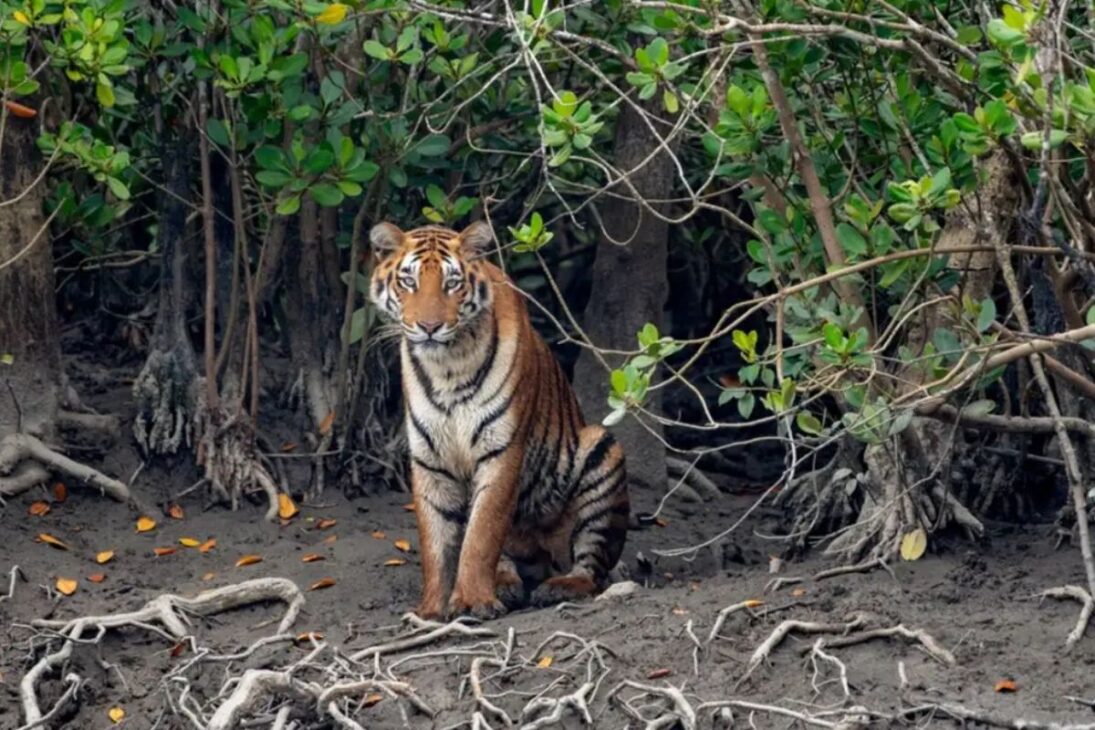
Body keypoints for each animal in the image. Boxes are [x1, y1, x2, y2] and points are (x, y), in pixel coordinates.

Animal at [368, 220, 629, 619]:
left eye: (452, 283)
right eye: (409, 281)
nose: (429, 326)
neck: (446, 367)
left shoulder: (501, 450)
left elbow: (482, 534)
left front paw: (472, 601)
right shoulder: (431, 460)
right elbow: (435, 543)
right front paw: (431, 610)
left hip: (601, 448)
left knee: (590, 564)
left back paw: (560, 586)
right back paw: (506, 584)